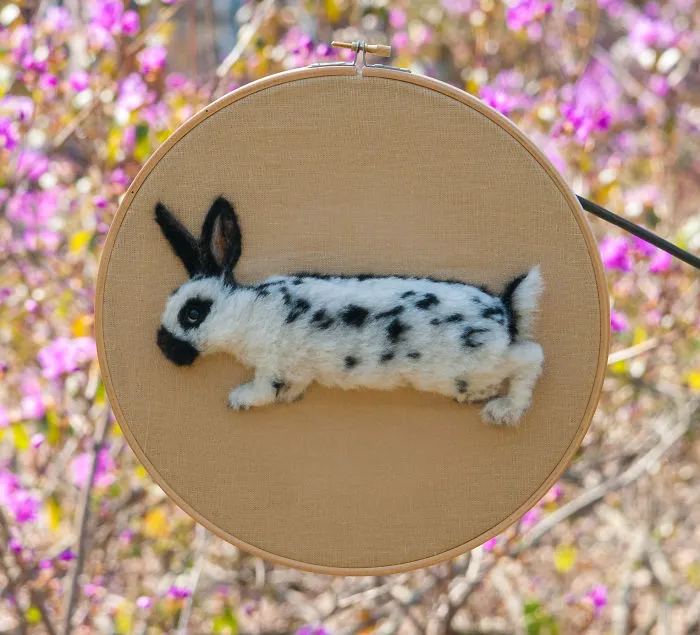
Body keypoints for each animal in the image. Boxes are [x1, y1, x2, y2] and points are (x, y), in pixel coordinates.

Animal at [155, 197, 545, 426]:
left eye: (193, 313)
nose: (164, 348)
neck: (247, 313)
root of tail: (503, 310)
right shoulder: (295, 369)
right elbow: (293, 386)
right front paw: (291, 397)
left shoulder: (271, 364)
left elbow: (264, 391)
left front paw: (239, 400)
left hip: (475, 360)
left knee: (530, 357)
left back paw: (504, 411)